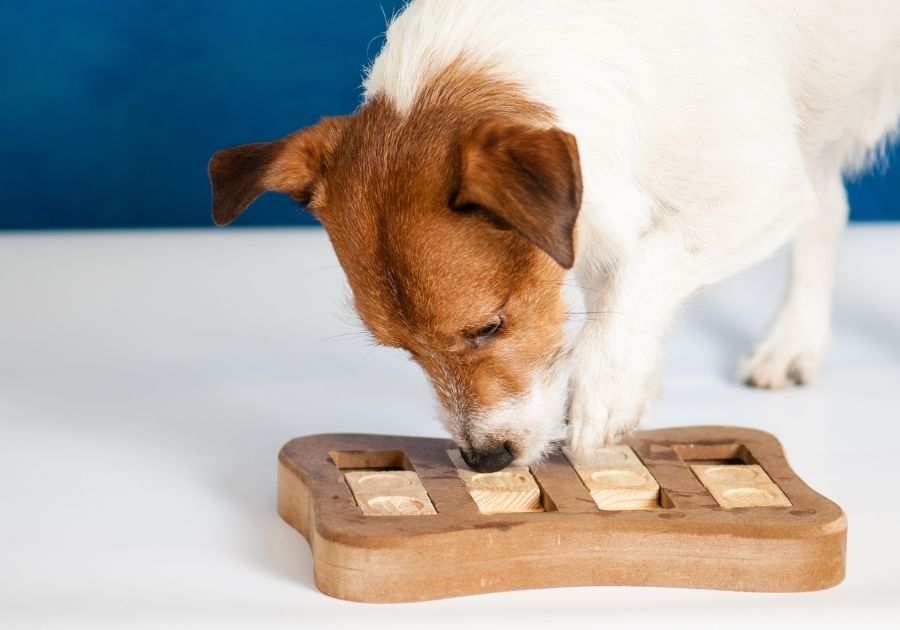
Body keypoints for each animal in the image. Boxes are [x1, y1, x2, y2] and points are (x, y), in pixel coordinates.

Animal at [209, 1, 900, 474]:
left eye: (488, 327)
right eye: (401, 350)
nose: (484, 460)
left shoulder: (762, 190)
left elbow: (646, 270)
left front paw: (607, 387)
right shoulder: (593, 233)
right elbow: (613, 293)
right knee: (831, 210)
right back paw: (794, 343)